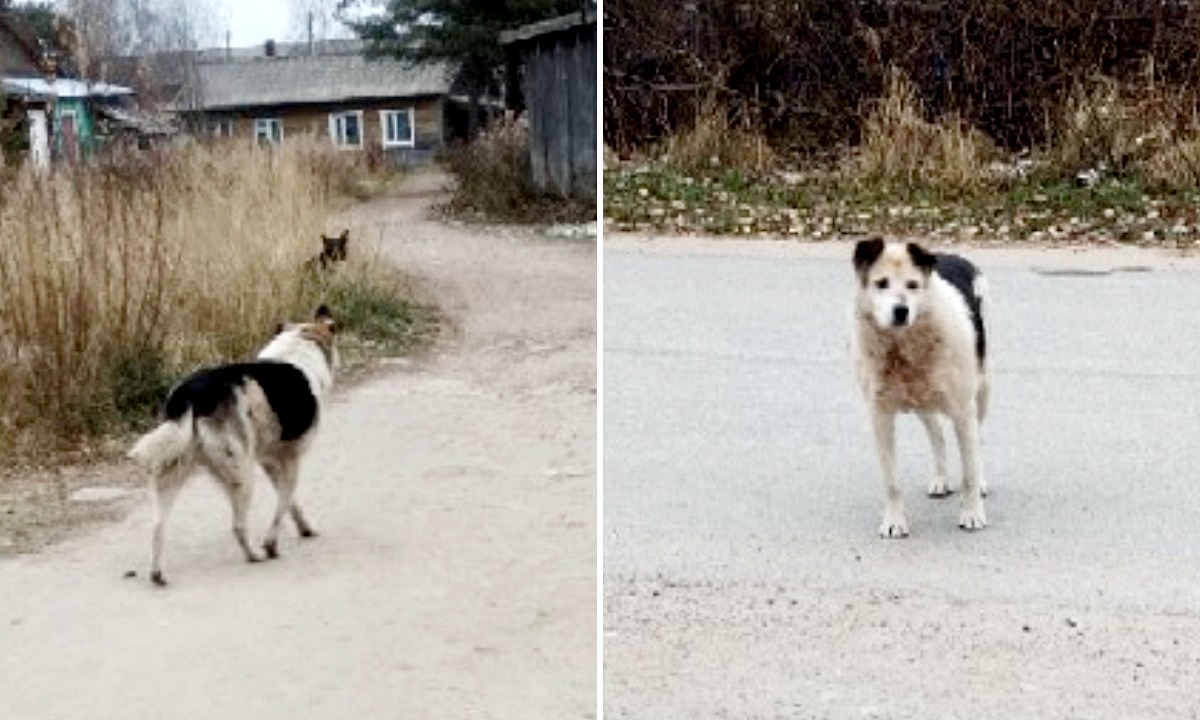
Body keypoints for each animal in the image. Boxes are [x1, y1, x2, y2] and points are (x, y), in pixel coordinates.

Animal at [127, 304, 338, 585]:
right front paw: (272, 544)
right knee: (238, 526)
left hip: (172, 472)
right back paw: (254, 555)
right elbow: (284, 502)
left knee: (158, 527)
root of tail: (191, 395)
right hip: (242, 474)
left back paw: (157, 573)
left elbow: (291, 502)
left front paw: (304, 528)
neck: (301, 341)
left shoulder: (270, 461)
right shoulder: (289, 460)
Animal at [849, 238, 988, 537]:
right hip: (923, 402)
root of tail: (948, 254)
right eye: (881, 283)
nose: (901, 311)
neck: (903, 347)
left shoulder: (963, 409)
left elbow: (969, 471)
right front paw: (894, 521)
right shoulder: (880, 415)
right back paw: (940, 479)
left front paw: (972, 514)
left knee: (977, 444)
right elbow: (891, 481)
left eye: (912, 285)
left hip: (982, 389)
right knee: (938, 437)